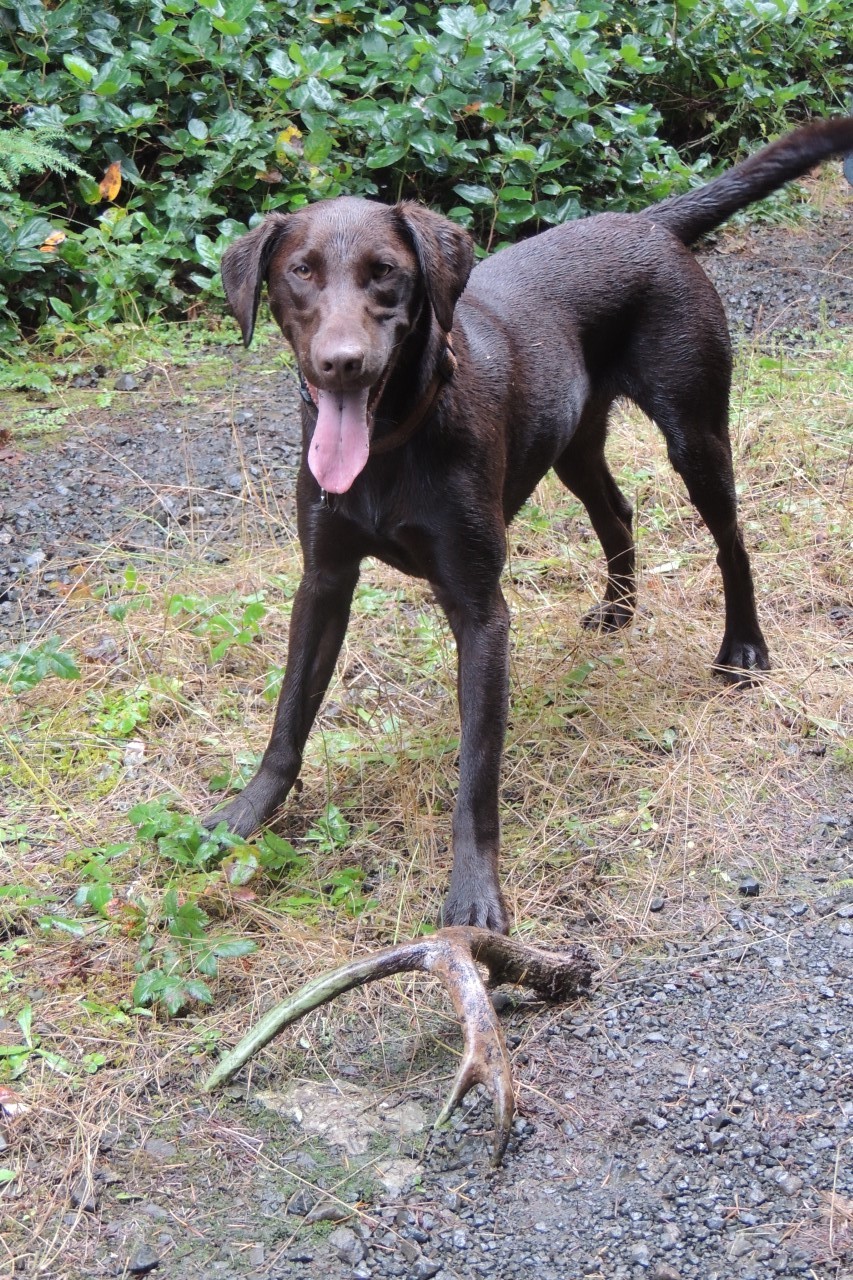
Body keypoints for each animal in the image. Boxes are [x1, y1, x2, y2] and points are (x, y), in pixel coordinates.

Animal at [207, 117, 850, 931]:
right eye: (300, 271)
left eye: (385, 273)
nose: (341, 363)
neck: (393, 440)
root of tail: (646, 221)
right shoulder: (322, 581)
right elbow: (289, 715)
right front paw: (246, 815)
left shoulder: (481, 613)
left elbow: (477, 770)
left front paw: (474, 895)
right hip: (573, 444)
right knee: (617, 514)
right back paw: (617, 611)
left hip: (695, 433)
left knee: (730, 539)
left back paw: (742, 648)